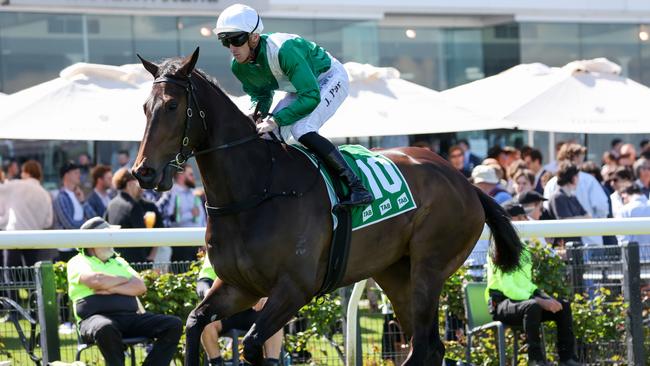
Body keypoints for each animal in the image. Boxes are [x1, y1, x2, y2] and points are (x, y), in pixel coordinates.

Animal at [133, 48, 520, 364]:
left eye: (172, 106)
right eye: (145, 108)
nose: (143, 171)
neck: (256, 189)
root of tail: (465, 182)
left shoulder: (294, 288)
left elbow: (253, 344)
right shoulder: (238, 287)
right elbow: (194, 322)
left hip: (430, 267)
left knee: (426, 345)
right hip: (395, 273)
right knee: (427, 346)